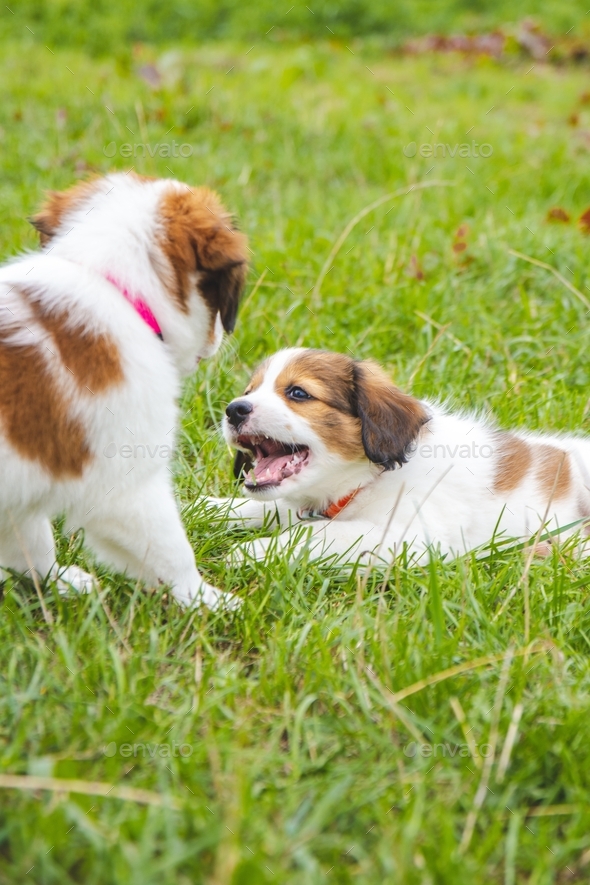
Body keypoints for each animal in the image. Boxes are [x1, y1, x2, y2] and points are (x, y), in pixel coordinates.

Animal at [0, 176, 249, 612]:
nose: (220, 339)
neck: (108, 282)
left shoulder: (20, 488)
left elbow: (30, 544)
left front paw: (57, 582)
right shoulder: (128, 484)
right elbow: (172, 550)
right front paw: (208, 601)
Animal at [214, 348, 590, 568]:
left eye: (297, 393)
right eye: (249, 391)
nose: (234, 410)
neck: (369, 479)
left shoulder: (414, 536)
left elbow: (319, 533)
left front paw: (253, 551)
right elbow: (262, 507)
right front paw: (210, 508)